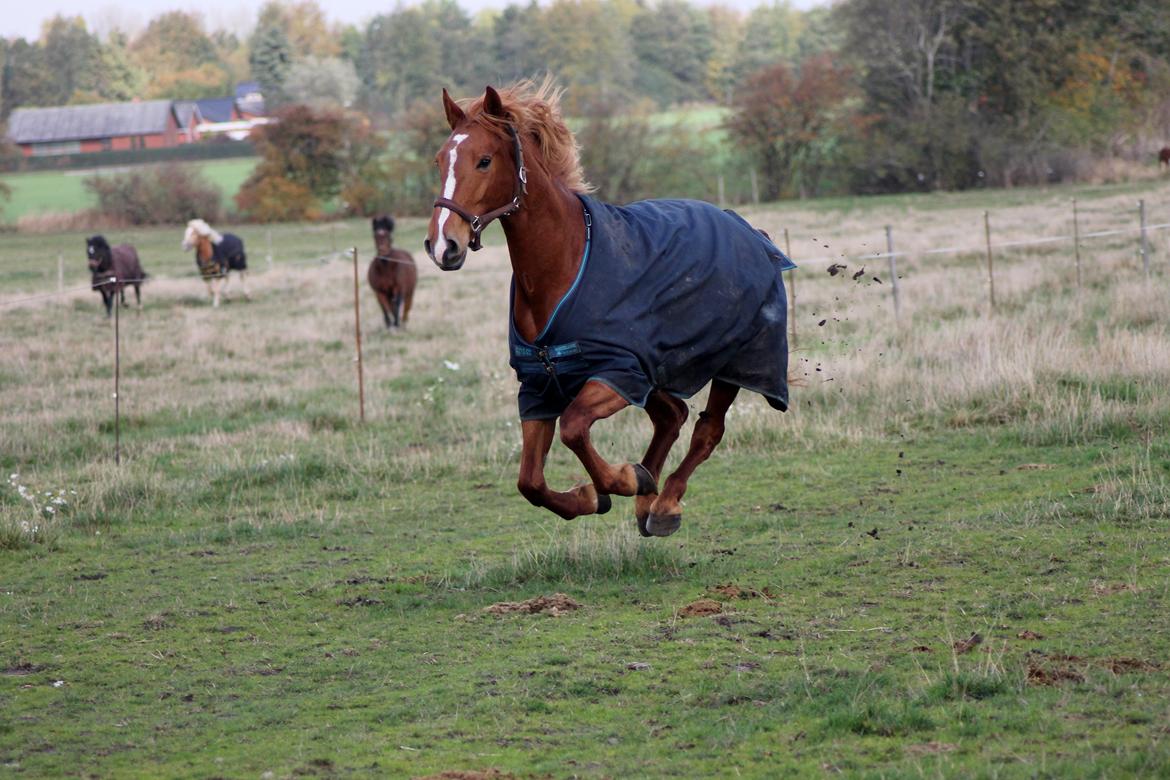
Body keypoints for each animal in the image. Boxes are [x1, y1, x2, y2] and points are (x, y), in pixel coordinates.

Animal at [425, 84, 800, 537]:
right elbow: (529, 481)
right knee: (672, 416)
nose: (442, 245)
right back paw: (647, 495)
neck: (563, 264)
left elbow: (573, 429)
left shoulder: (616, 374)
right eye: (440, 160)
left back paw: (664, 503)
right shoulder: (539, 387)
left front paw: (621, 480)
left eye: (484, 160)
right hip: (656, 373)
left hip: (732, 361)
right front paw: (598, 493)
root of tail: (751, 231)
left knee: (706, 430)